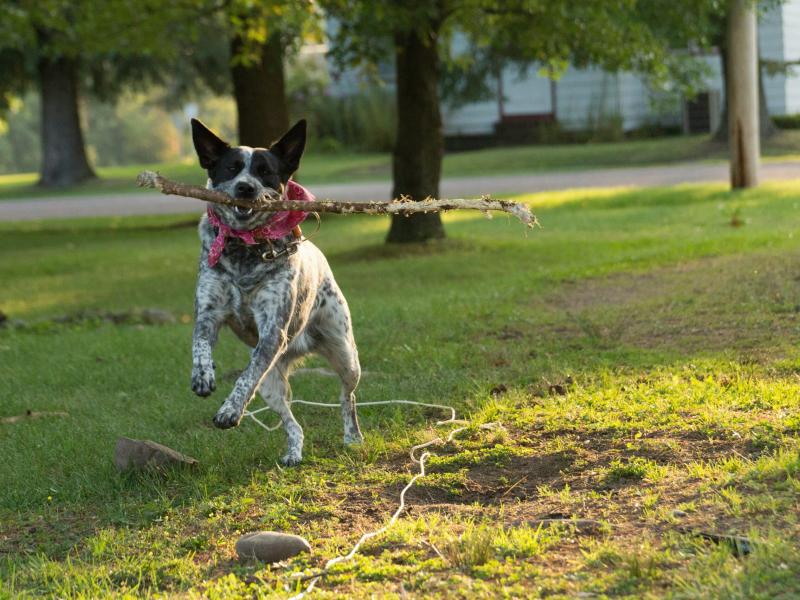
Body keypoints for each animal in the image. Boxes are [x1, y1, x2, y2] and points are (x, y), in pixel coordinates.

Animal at [188, 117, 362, 464]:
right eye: (231, 168)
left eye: (265, 171)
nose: (246, 188)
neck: (245, 250)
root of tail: (299, 348)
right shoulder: (208, 313)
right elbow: (199, 343)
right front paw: (203, 375)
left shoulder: (272, 331)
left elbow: (245, 376)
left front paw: (229, 411)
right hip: (271, 385)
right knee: (292, 423)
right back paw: (294, 452)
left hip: (346, 356)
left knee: (346, 398)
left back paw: (353, 438)